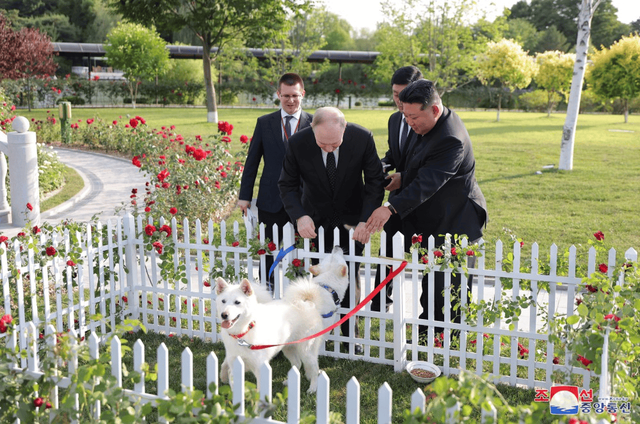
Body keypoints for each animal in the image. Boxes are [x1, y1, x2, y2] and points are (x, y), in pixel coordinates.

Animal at [215, 247, 348, 392]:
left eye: (237, 302)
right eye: (223, 301)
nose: (224, 315)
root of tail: (308, 303)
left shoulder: (259, 366)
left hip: (305, 350)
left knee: (312, 367)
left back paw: (312, 388)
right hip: (290, 348)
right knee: (299, 364)